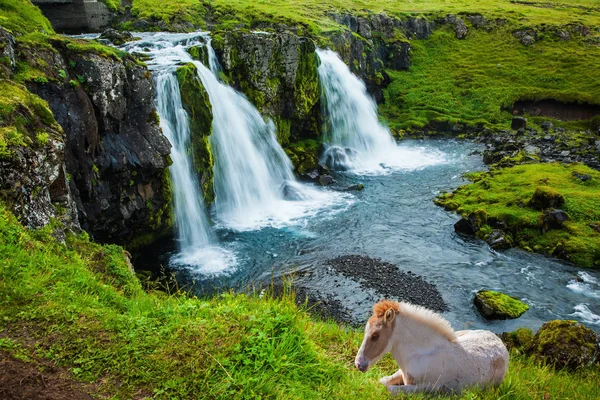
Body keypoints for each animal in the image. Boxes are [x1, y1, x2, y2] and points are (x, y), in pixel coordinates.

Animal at [354, 300, 508, 394]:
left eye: (375, 335)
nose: (359, 364)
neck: (420, 354)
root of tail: (500, 342)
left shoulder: (431, 388)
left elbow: (391, 389)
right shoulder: (402, 372)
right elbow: (383, 381)